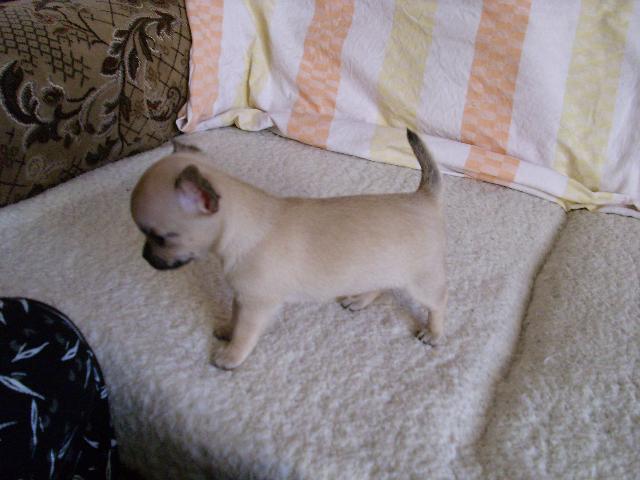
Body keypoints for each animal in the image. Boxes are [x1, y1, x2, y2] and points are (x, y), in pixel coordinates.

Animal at [130, 130, 447, 370]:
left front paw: (231, 356)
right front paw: (226, 330)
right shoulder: (242, 297)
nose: (145, 256)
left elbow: (245, 332)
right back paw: (358, 300)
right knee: (380, 286)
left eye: (160, 238)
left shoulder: (257, 305)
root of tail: (423, 197)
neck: (245, 226)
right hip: (382, 267)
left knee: (437, 304)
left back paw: (433, 333)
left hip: (421, 281)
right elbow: (234, 317)